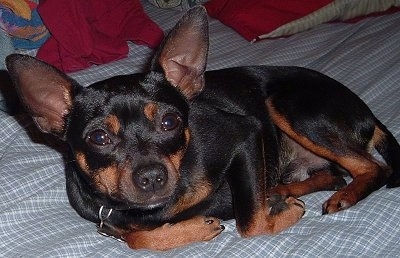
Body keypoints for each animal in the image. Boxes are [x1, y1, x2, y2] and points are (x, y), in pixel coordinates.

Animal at [5, 7, 400, 251]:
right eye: (99, 138)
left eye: (170, 122)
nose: (152, 177)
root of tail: (366, 112)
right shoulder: (110, 221)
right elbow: (136, 238)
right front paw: (196, 227)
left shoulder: (244, 133)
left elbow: (250, 224)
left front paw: (280, 215)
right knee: (332, 175)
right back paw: (281, 191)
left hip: (291, 108)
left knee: (372, 168)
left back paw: (338, 196)